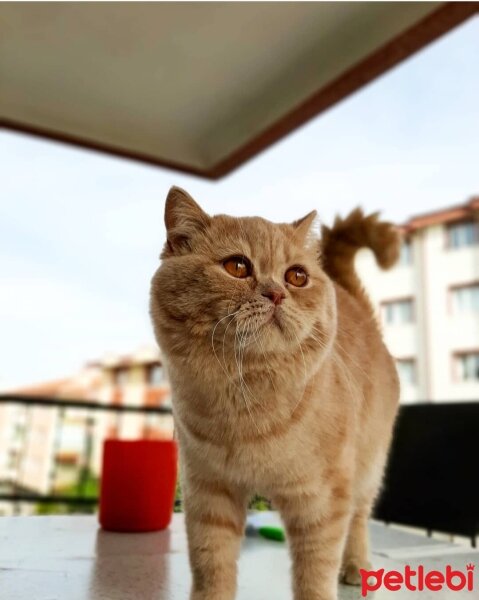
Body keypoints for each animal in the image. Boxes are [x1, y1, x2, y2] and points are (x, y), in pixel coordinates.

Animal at [151, 188, 402, 600]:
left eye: (296, 276)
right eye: (237, 267)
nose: (277, 294)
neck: (247, 398)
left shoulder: (322, 502)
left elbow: (315, 572)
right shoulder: (209, 493)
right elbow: (211, 562)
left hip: (368, 468)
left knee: (359, 521)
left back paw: (355, 566)